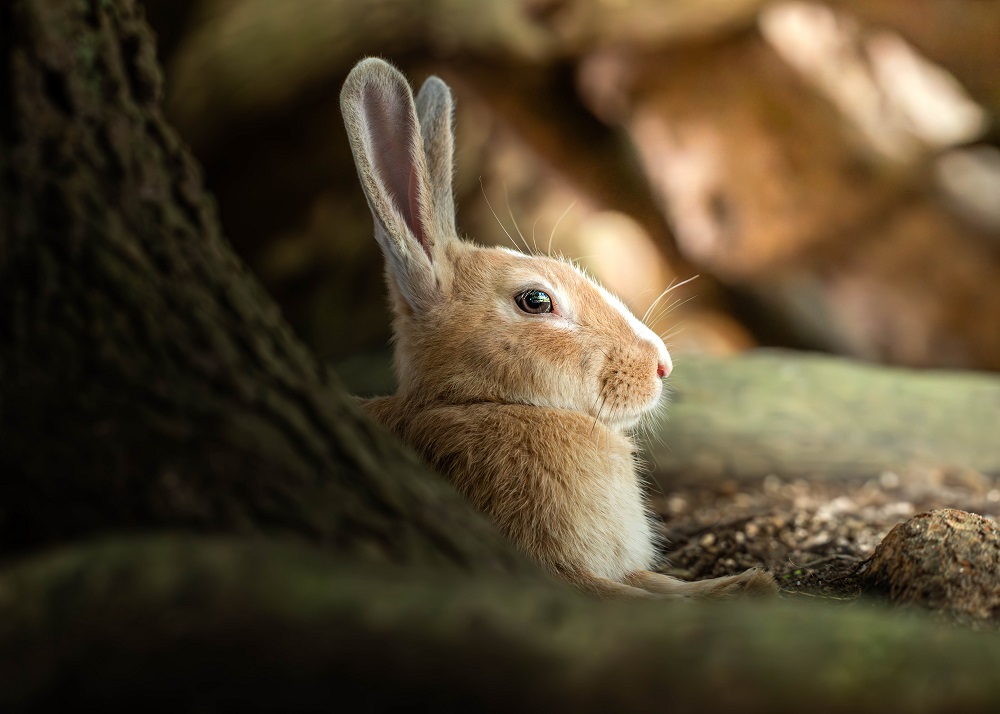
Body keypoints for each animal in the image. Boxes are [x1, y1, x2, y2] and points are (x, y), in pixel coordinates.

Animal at [340, 58, 776, 596]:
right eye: (536, 300)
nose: (662, 366)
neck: (481, 402)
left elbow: (664, 588)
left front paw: (743, 582)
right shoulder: (557, 575)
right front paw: (752, 586)